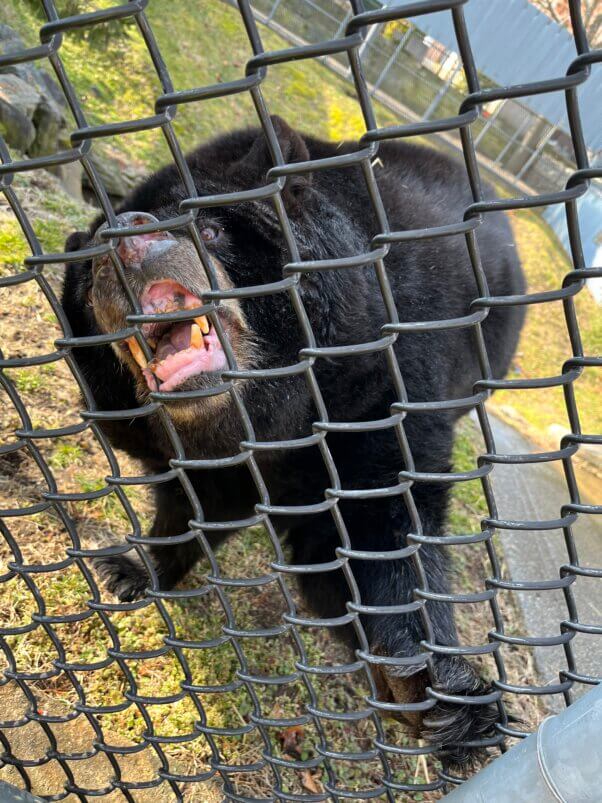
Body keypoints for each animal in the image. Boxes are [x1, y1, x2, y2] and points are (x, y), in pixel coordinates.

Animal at [61, 116, 525, 768]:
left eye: (209, 228)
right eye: (88, 278)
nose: (123, 236)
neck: (261, 418)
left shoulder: (380, 384)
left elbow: (380, 527)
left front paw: (449, 699)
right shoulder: (195, 454)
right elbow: (196, 509)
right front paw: (128, 568)